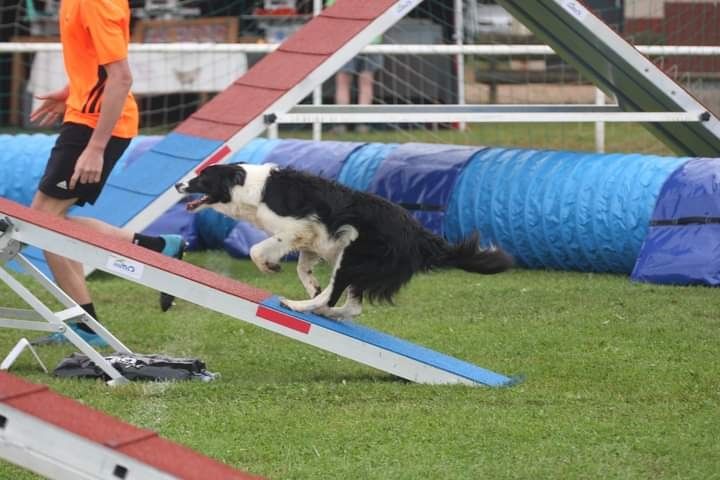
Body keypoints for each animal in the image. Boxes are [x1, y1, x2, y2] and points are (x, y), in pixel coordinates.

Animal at [174, 163, 512, 320]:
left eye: (202, 178)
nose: (178, 184)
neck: (250, 186)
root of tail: (419, 235)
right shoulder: (312, 239)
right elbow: (303, 267)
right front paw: (310, 283)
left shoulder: (294, 227)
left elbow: (259, 249)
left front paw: (270, 267)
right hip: (353, 260)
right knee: (351, 307)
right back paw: (323, 310)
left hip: (353, 254)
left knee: (336, 294)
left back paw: (298, 305)